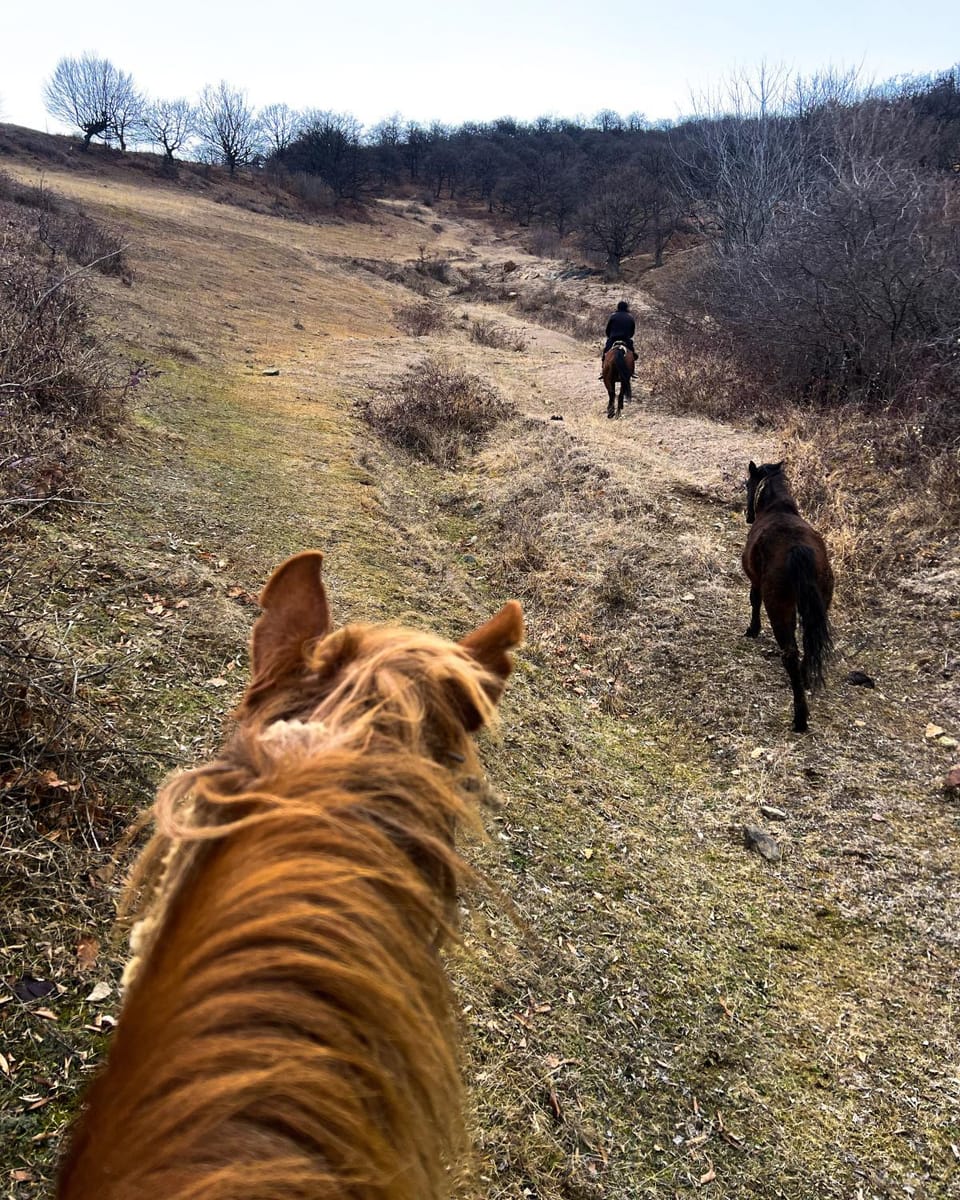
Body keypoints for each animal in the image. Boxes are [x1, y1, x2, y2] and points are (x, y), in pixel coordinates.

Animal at [742, 460, 834, 733]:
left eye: (748, 484)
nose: (748, 516)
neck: (777, 508)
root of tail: (798, 550)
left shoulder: (755, 581)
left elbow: (754, 600)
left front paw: (752, 629)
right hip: (820, 602)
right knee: (807, 645)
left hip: (779, 607)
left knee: (790, 654)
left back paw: (800, 717)